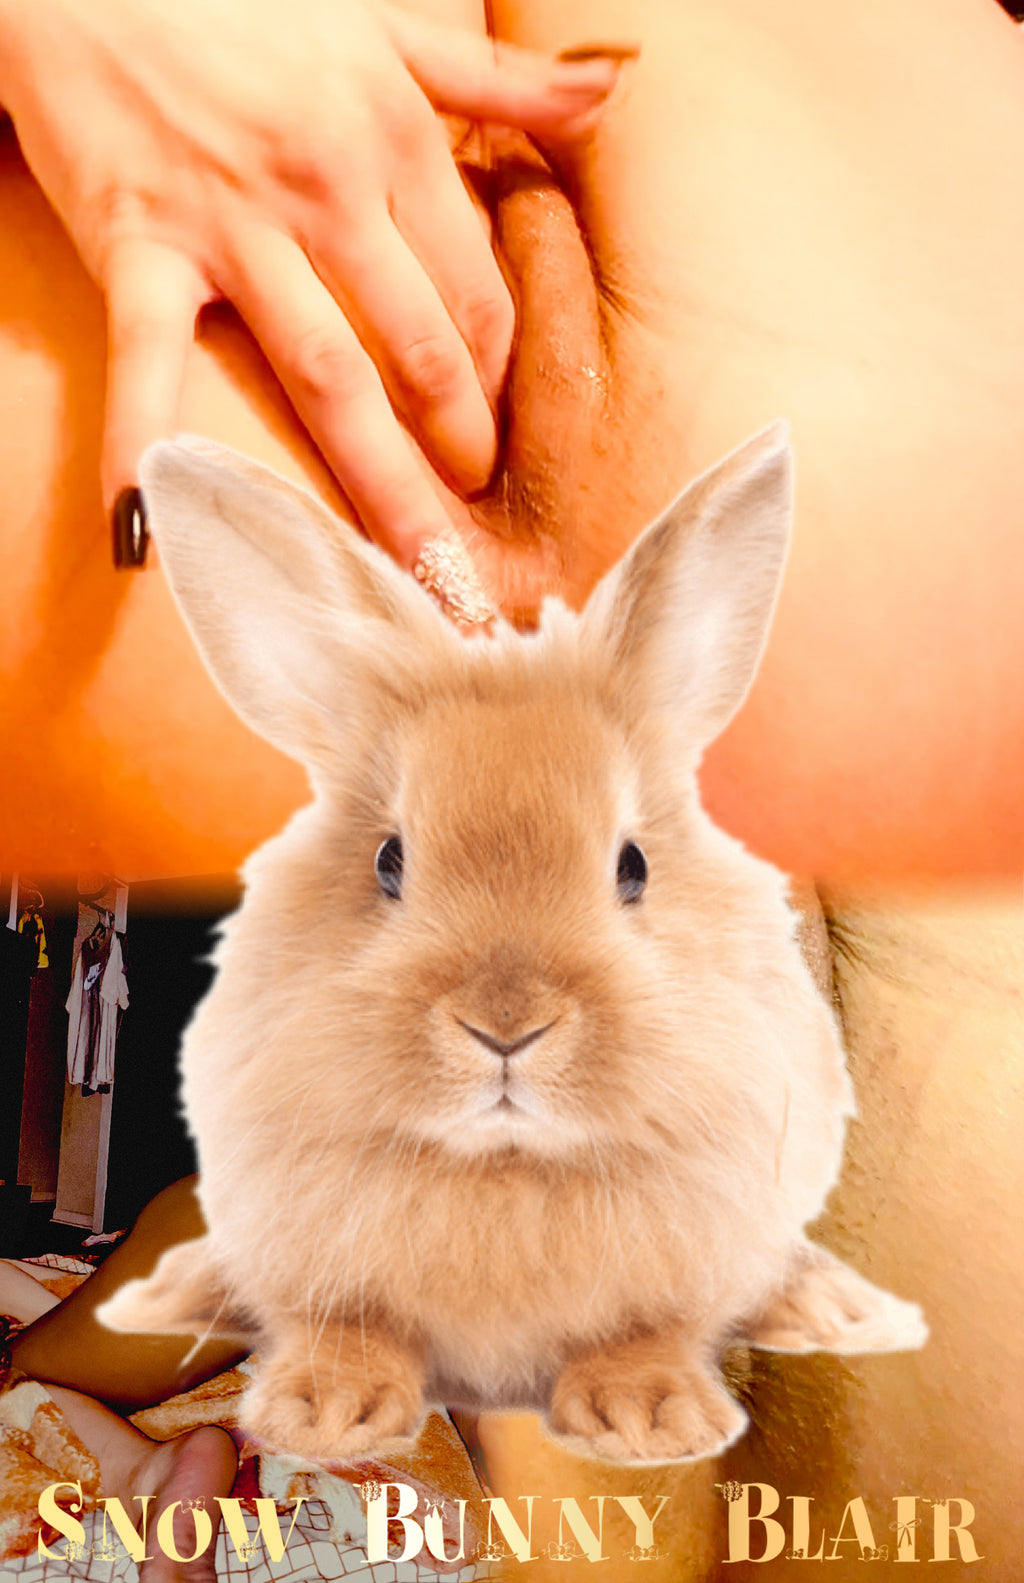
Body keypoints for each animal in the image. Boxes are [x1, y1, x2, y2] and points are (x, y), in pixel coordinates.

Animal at [98, 423, 926, 1465]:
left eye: (633, 865)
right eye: (389, 860)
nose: (505, 1024)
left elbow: (644, 1330)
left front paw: (647, 1419)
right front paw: (324, 1412)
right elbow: (350, 1324)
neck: (505, 1167)